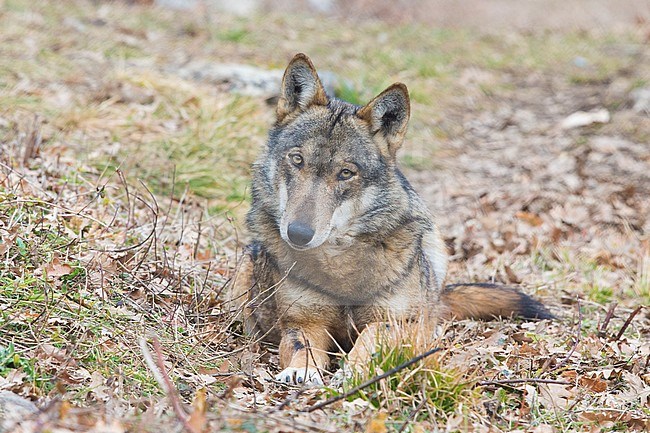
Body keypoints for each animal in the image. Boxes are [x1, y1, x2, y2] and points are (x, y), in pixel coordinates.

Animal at [230, 51, 548, 384]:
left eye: (346, 173)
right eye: (297, 160)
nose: (298, 234)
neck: (339, 263)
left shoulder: (394, 321)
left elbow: (370, 342)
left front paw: (354, 372)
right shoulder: (302, 322)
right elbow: (302, 346)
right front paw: (300, 370)